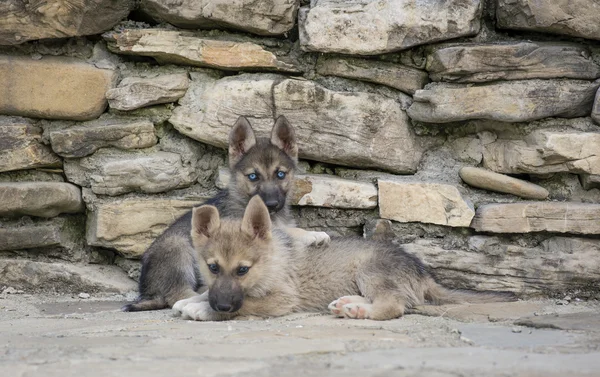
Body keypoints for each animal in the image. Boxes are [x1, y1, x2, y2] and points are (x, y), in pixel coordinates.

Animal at [123, 116, 328, 310]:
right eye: (253, 176)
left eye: (280, 174)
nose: (271, 204)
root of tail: (148, 291)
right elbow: (288, 231)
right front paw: (313, 234)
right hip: (178, 247)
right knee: (177, 295)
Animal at [173, 195, 516, 322]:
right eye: (212, 267)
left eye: (243, 270)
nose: (221, 305)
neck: (270, 262)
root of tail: (423, 271)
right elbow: (206, 292)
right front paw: (192, 299)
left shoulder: (281, 299)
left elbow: (247, 305)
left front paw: (203, 309)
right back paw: (348, 302)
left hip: (369, 269)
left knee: (394, 305)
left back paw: (357, 309)